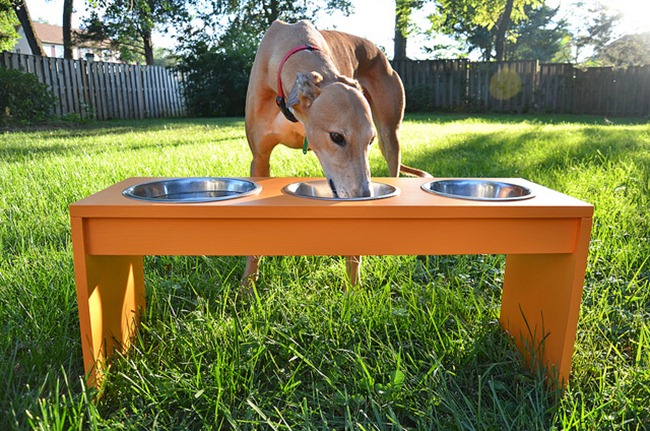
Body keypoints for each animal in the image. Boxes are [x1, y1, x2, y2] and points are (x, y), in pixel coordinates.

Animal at [240, 20, 428, 288]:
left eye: (369, 140)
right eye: (337, 137)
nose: (365, 196)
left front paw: (353, 289)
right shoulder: (260, 158)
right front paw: (247, 285)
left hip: (390, 136)